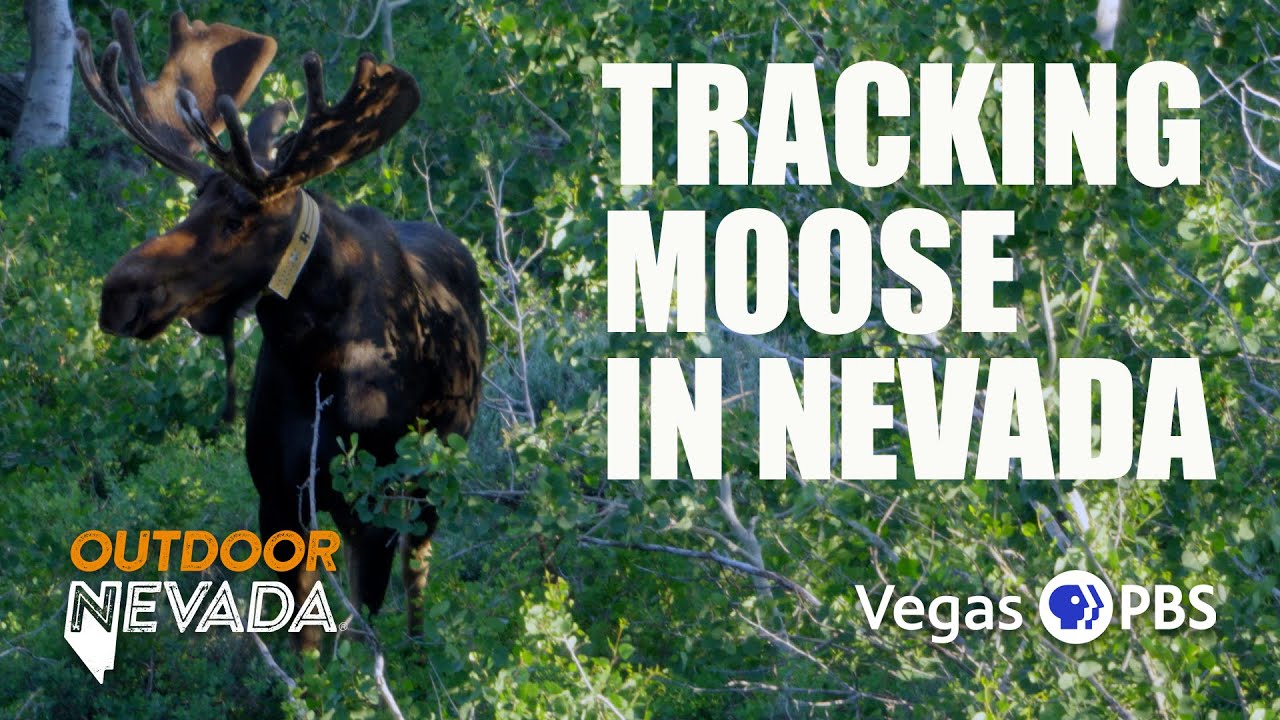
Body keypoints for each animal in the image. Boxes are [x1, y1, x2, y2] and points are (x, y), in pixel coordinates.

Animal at [74, 9, 487, 650]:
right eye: (192, 203)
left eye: (237, 218)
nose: (117, 293)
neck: (315, 355)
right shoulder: (279, 497)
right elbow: (305, 640)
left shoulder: (372, 499)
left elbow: (360, 633)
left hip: (434, 475)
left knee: (417, 575)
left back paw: (420, 657)